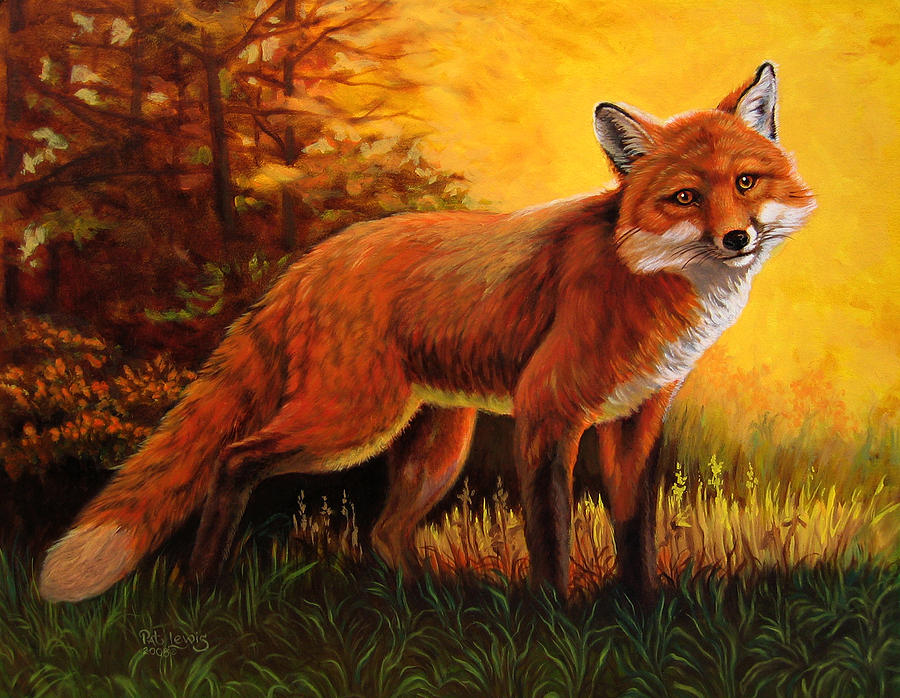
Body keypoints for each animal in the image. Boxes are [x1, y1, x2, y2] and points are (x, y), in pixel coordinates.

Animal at [39, 62, 814, 604]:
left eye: (745, 183)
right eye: (684, 197)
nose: (737, 238)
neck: (645, 277)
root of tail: (314, 259)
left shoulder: (638, 419)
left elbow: (635, 533)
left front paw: (641, 611)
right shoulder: (548, 410)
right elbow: (552, 534)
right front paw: (557, 622)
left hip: (435, 446)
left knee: (382, 533)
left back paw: (417, 605)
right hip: (353, 420)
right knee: (235, 459)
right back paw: (203, 584)